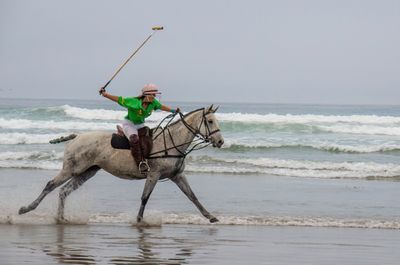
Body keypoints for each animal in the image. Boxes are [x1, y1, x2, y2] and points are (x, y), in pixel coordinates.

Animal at [18, 104, 225, 223]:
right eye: (209, 121)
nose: (220, 141)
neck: (172, 141)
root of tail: (77, 136)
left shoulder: (177, 176)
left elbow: (193, 197)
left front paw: (211, 216)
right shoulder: (153, 175)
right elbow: (144, 198)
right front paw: (139, 220)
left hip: (87, 171)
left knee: (64, 191)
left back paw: (61, 218)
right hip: (71, 169)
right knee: (50, 185)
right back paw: (26, 208)